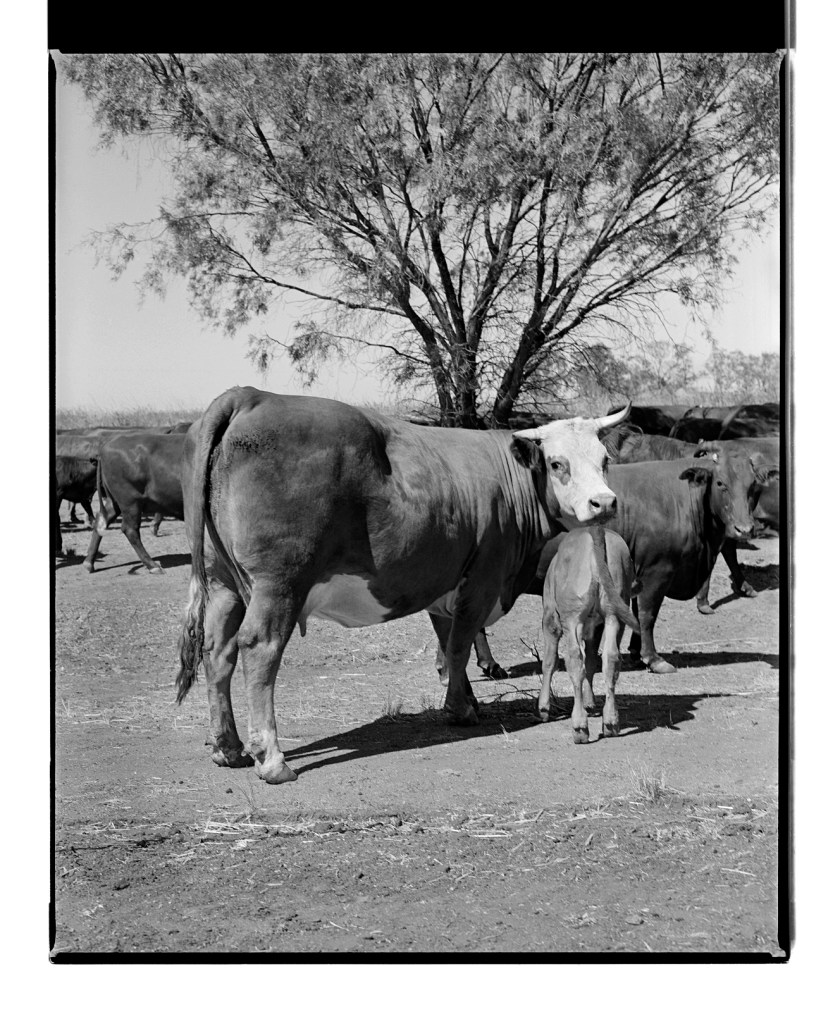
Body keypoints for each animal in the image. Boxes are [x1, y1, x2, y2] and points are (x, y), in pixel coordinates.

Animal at [83, 432, 186, 573]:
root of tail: (106, 446)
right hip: (131, 503)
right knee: (130, 529)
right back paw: (152, 565)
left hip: (115, 502)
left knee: (101, 521)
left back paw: (89, 563)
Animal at [537, 526, 639, 743]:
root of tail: (595, 529)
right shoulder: (597, 627)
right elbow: (592, 661)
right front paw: (591, 702)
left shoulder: (550, 617)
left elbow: (549, 661)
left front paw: (543, 707)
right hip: (614, 613)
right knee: (610, 658)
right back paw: (611, 722)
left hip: (572, 617)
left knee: (575, 660)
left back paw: (580, 727)